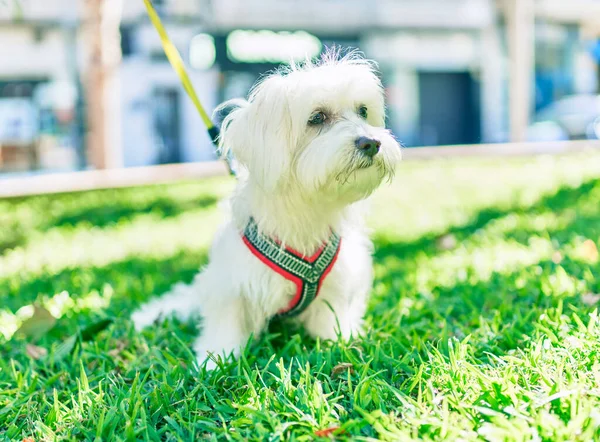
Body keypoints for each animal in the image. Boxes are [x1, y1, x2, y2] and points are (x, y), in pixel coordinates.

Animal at [132, 51, 404, 370]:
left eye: (362, 111)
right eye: (317, 117)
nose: (372, 142)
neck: (305, 209)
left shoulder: (339, 283)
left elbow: (330, 320)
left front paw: (339, 343)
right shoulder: (232, 284)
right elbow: (226, 324)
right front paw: (215, 360)